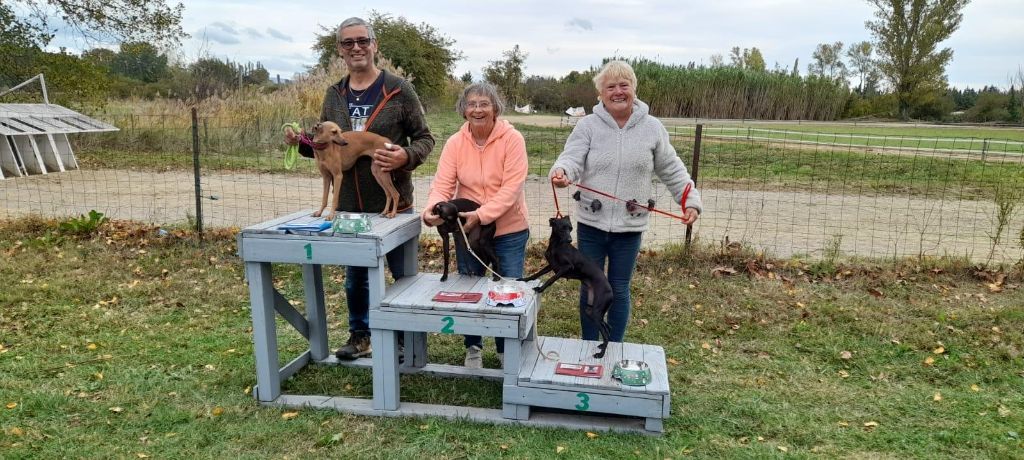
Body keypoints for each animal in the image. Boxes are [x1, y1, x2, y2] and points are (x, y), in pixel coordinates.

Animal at [516, 215, 610, 358]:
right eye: (562, 228)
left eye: (570, 228)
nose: (570, 240)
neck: (557, 245)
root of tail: (611, 292)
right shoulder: (551, 265)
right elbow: (537, 273)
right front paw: (525, 279)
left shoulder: (565, 268)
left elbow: (550, 280)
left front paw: (540, 289)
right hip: (591, 310)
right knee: (607, 329)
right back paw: (602, 346)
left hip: (596, 311)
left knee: (605, 333)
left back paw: (601, 353)